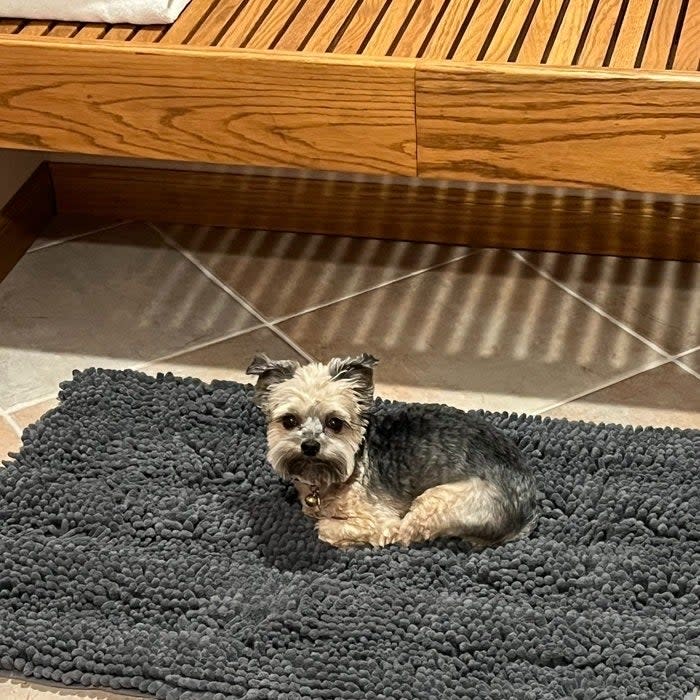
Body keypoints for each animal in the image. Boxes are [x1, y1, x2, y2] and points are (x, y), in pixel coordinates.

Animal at [249, 352, 540, 548]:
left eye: (335, 423)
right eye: (289, 421)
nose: (310, 446)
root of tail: (525, 513)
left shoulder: (377, 519)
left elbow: (328, 527)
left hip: (440, 500)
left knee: (404, 532)